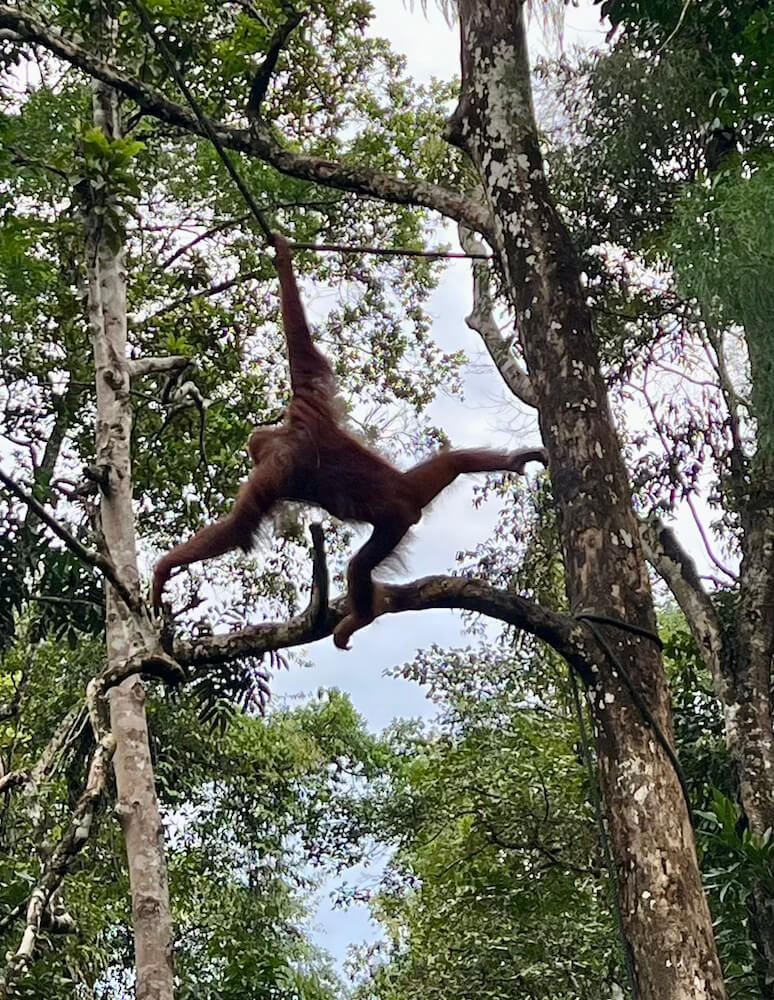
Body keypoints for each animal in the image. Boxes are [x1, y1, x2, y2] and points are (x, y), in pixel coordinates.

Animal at [152, 235, 547, 648]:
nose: (252, 449)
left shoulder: (276, 466)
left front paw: (162, 570)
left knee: (358, 566)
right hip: (421, 485)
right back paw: (512, 461)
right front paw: (283, 254)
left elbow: (238, 527)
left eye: (256, 456)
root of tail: (408, 492)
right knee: (452, 462)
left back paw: (359, 617)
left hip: (395, 520)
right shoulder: (310, 403)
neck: (289, 433)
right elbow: (304, 352)